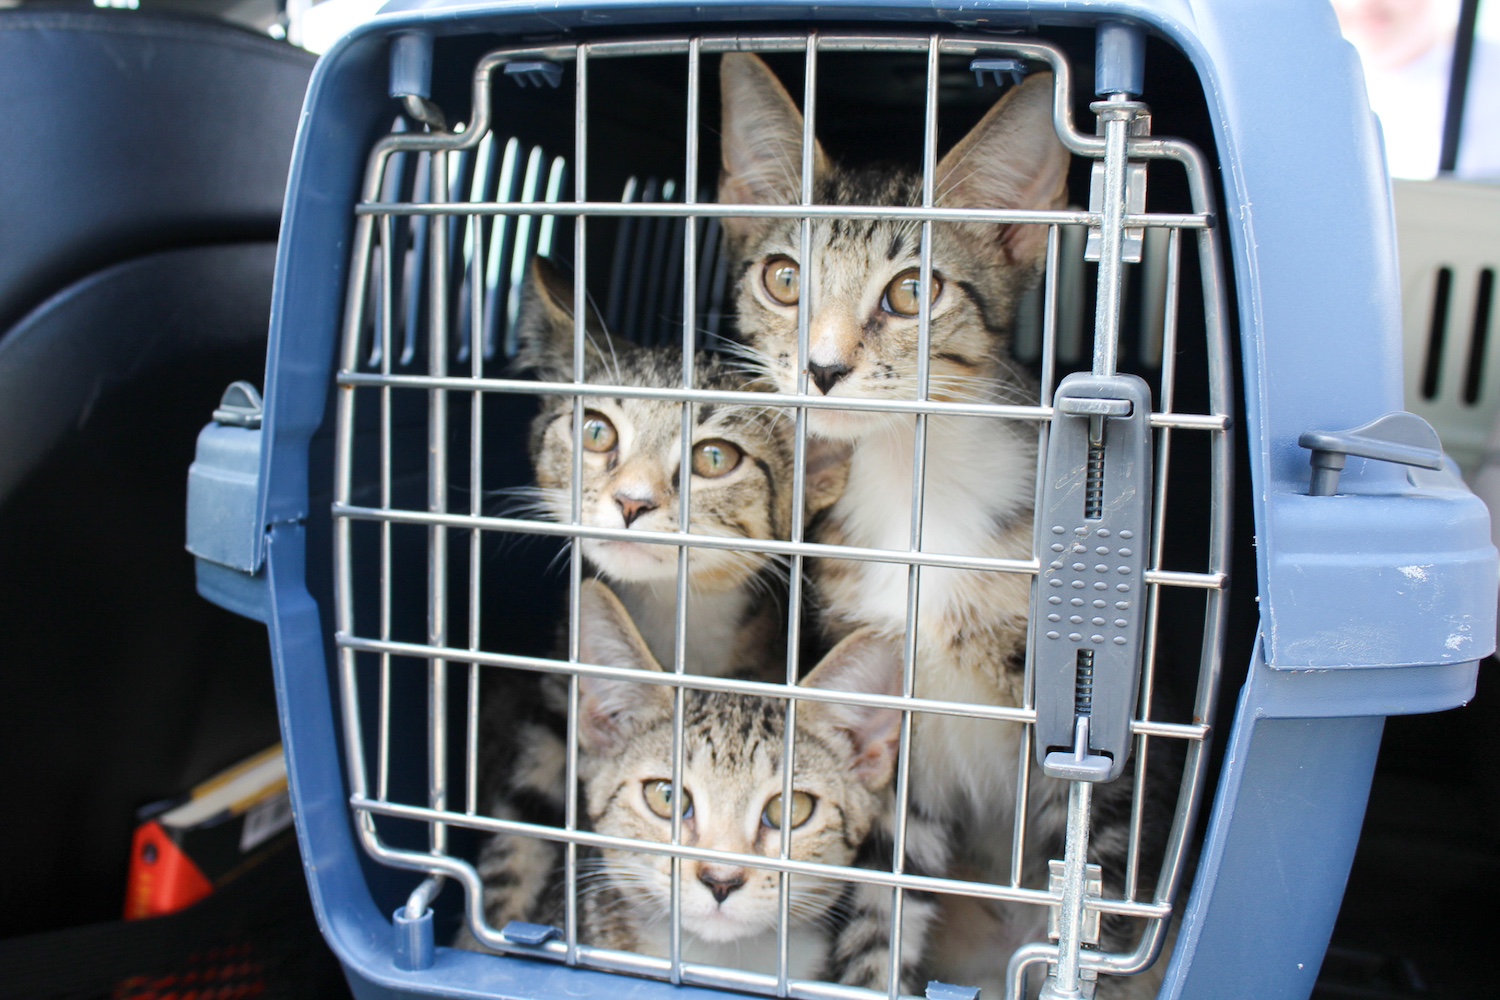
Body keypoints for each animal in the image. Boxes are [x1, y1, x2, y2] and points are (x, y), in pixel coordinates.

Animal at [717, 56, 1170, 1000]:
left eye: (912, 291)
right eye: (784, 278)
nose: (822, 367)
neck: (913, 487)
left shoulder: (1083, 759)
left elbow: (1094, 907)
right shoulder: (893, 742)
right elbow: (880, 915)